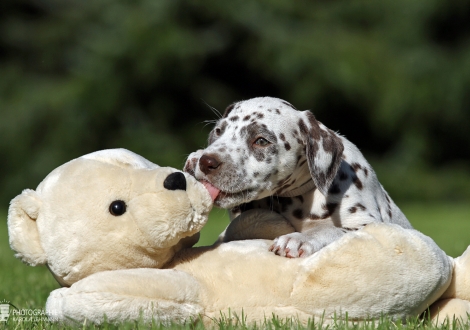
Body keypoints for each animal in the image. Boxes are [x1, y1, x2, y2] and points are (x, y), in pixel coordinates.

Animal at [184, 96, 412, 256]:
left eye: (261, 140)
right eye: (218, 131)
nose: (206, 162)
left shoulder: (369, 225)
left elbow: (333, 231)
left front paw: (300, 239)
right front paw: (194, 158)